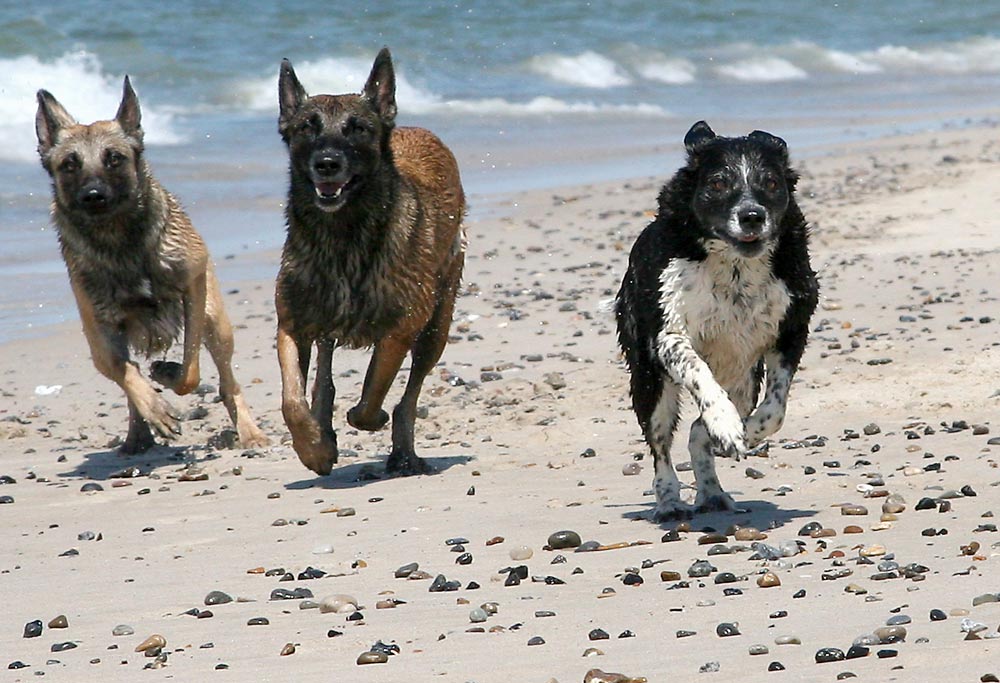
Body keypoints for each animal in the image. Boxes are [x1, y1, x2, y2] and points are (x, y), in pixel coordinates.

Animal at [35, 76, 270, 454]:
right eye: (69, 164)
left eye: (114, 159)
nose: (93, 196)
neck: (117, 240)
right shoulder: (100, 331)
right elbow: (126, 373)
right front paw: (155, 409)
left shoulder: (193, 290)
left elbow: (190, 371)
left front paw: (170, 374)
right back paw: (138, 433)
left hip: (217, 322)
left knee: (227, 382)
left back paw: (249, 432)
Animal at [272, 48, 462, 478]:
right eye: (307, 127)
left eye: (357, 128)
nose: (327, 163)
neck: (342, 237)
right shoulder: (292, 325)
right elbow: (293, 400)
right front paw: (314, 448)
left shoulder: (401, 328)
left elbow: (375, 386)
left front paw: (368, 419)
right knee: (324, 374)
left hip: (438, 322)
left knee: (409, 394)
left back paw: (402, 451)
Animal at [612, 120, 816, 520]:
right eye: (718, 183)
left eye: (771, 182)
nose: (752, 216)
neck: (735, 266)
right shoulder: (668, 333)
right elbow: (698, 374)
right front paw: (724, 422)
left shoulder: (791, 328)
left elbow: (776, 409)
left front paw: (742, 433)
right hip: (650, 381)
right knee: (660, 446)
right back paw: (670, 501)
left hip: (743, 380)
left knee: (695, 432)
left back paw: (711, 491)